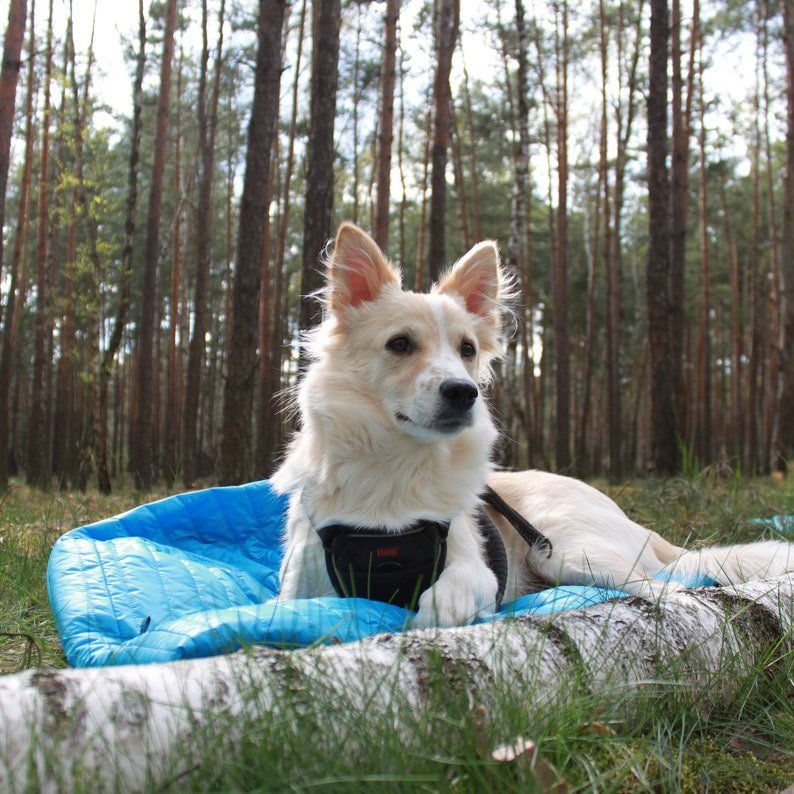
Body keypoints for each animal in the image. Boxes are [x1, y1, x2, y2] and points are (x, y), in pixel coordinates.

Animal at [270, 221, 788, 624]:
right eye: (400, 344)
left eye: (467, 349)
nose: (463, 392)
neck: (396, 467)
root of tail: (629, 519)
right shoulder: (298, 588)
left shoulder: (476, 565)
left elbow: (458, 586)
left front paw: (439, 609)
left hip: (563, 550)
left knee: (666, 586)